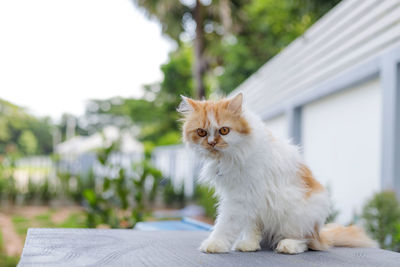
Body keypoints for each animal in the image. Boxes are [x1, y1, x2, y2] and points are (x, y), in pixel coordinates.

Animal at [177, 94, 376, 255]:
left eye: (224, 130)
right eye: (201, 132)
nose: (211, 143)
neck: (228, 157)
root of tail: (320, 233)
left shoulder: (239, 197)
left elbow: (225, 223)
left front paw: (214, 244)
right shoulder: (249, 201)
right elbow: (249, 226)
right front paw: (248, 244)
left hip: (295, 214)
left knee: (306, 241)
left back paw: (289, 245)